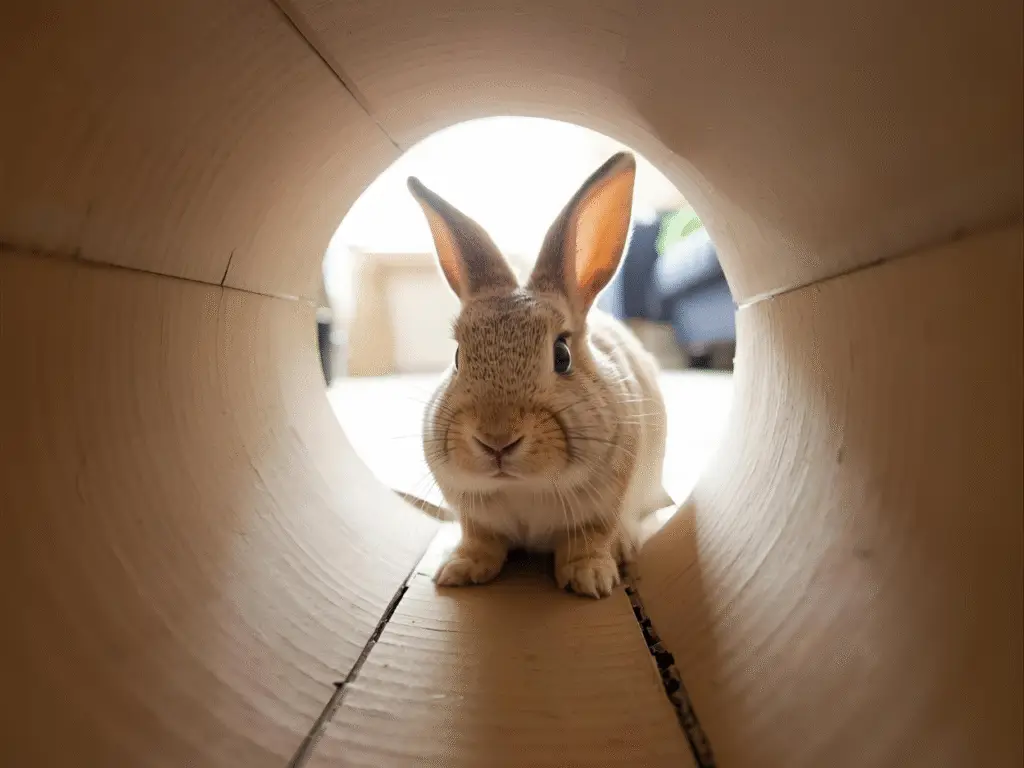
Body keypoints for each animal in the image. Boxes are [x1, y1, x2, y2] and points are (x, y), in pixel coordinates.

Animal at [406, 151, 672, 598]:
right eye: (458, 356)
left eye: (561, 355)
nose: (496, 441)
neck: (522, 487)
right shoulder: (475, 518)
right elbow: (480, 540)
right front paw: (458, 570)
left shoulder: (600, 510)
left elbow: (589, 539)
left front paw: (591, 579)